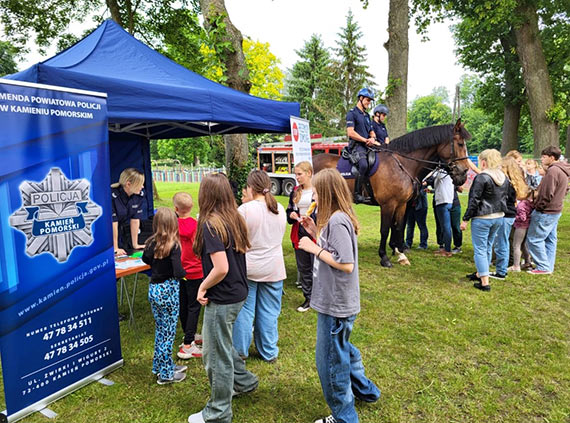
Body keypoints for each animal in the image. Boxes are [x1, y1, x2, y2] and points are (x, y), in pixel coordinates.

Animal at [312, 117, 468, 266]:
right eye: (460, 144)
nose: (464, 174)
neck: (402, 165)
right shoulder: (388, 204)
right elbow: (385, 229)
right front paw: (384, 257)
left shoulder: (402, 204)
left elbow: (398, 227)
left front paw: (400, 253)